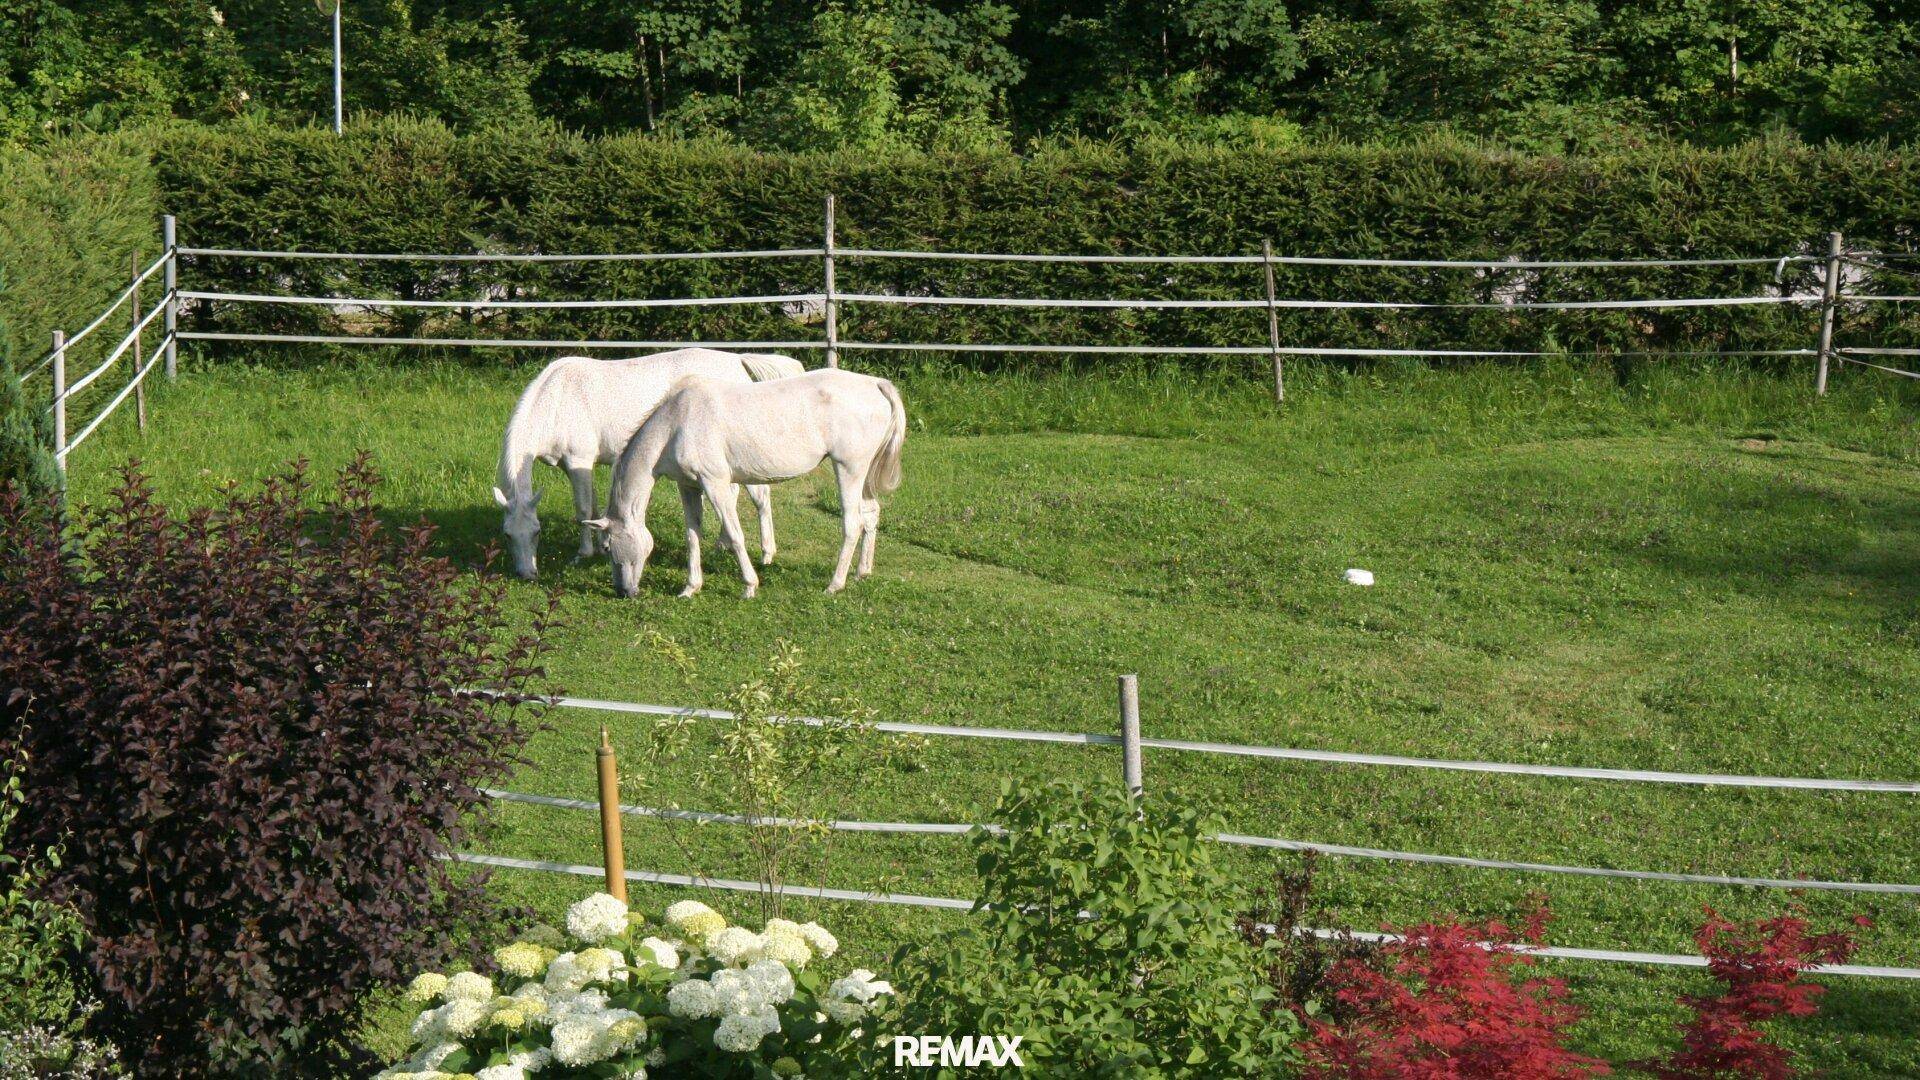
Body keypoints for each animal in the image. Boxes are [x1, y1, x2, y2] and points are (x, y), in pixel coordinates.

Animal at [493, 348, 805, 578]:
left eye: (537, 532)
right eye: (507, 535)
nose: (526, 574)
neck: (556, 401)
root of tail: (736, 360)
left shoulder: (578, 460)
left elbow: (581, 509)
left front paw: (583, 554)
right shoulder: (579, 466)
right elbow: (592, 507)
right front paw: (601, 544)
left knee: (760, 497)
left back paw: (766, 554)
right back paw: (722, 544)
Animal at [584, 368, 906, 598]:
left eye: (608, 547)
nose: (623, 592)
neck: (677, 423)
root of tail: (875, 383)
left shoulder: (715, 483)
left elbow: (735, 533)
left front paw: (749, 586)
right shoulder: (689, 487)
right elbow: (692, 535)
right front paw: (690, 588)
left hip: (849, 469)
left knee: (852, 523)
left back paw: (834, 584)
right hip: (863, 475)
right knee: (871, 514)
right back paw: (862, 572)